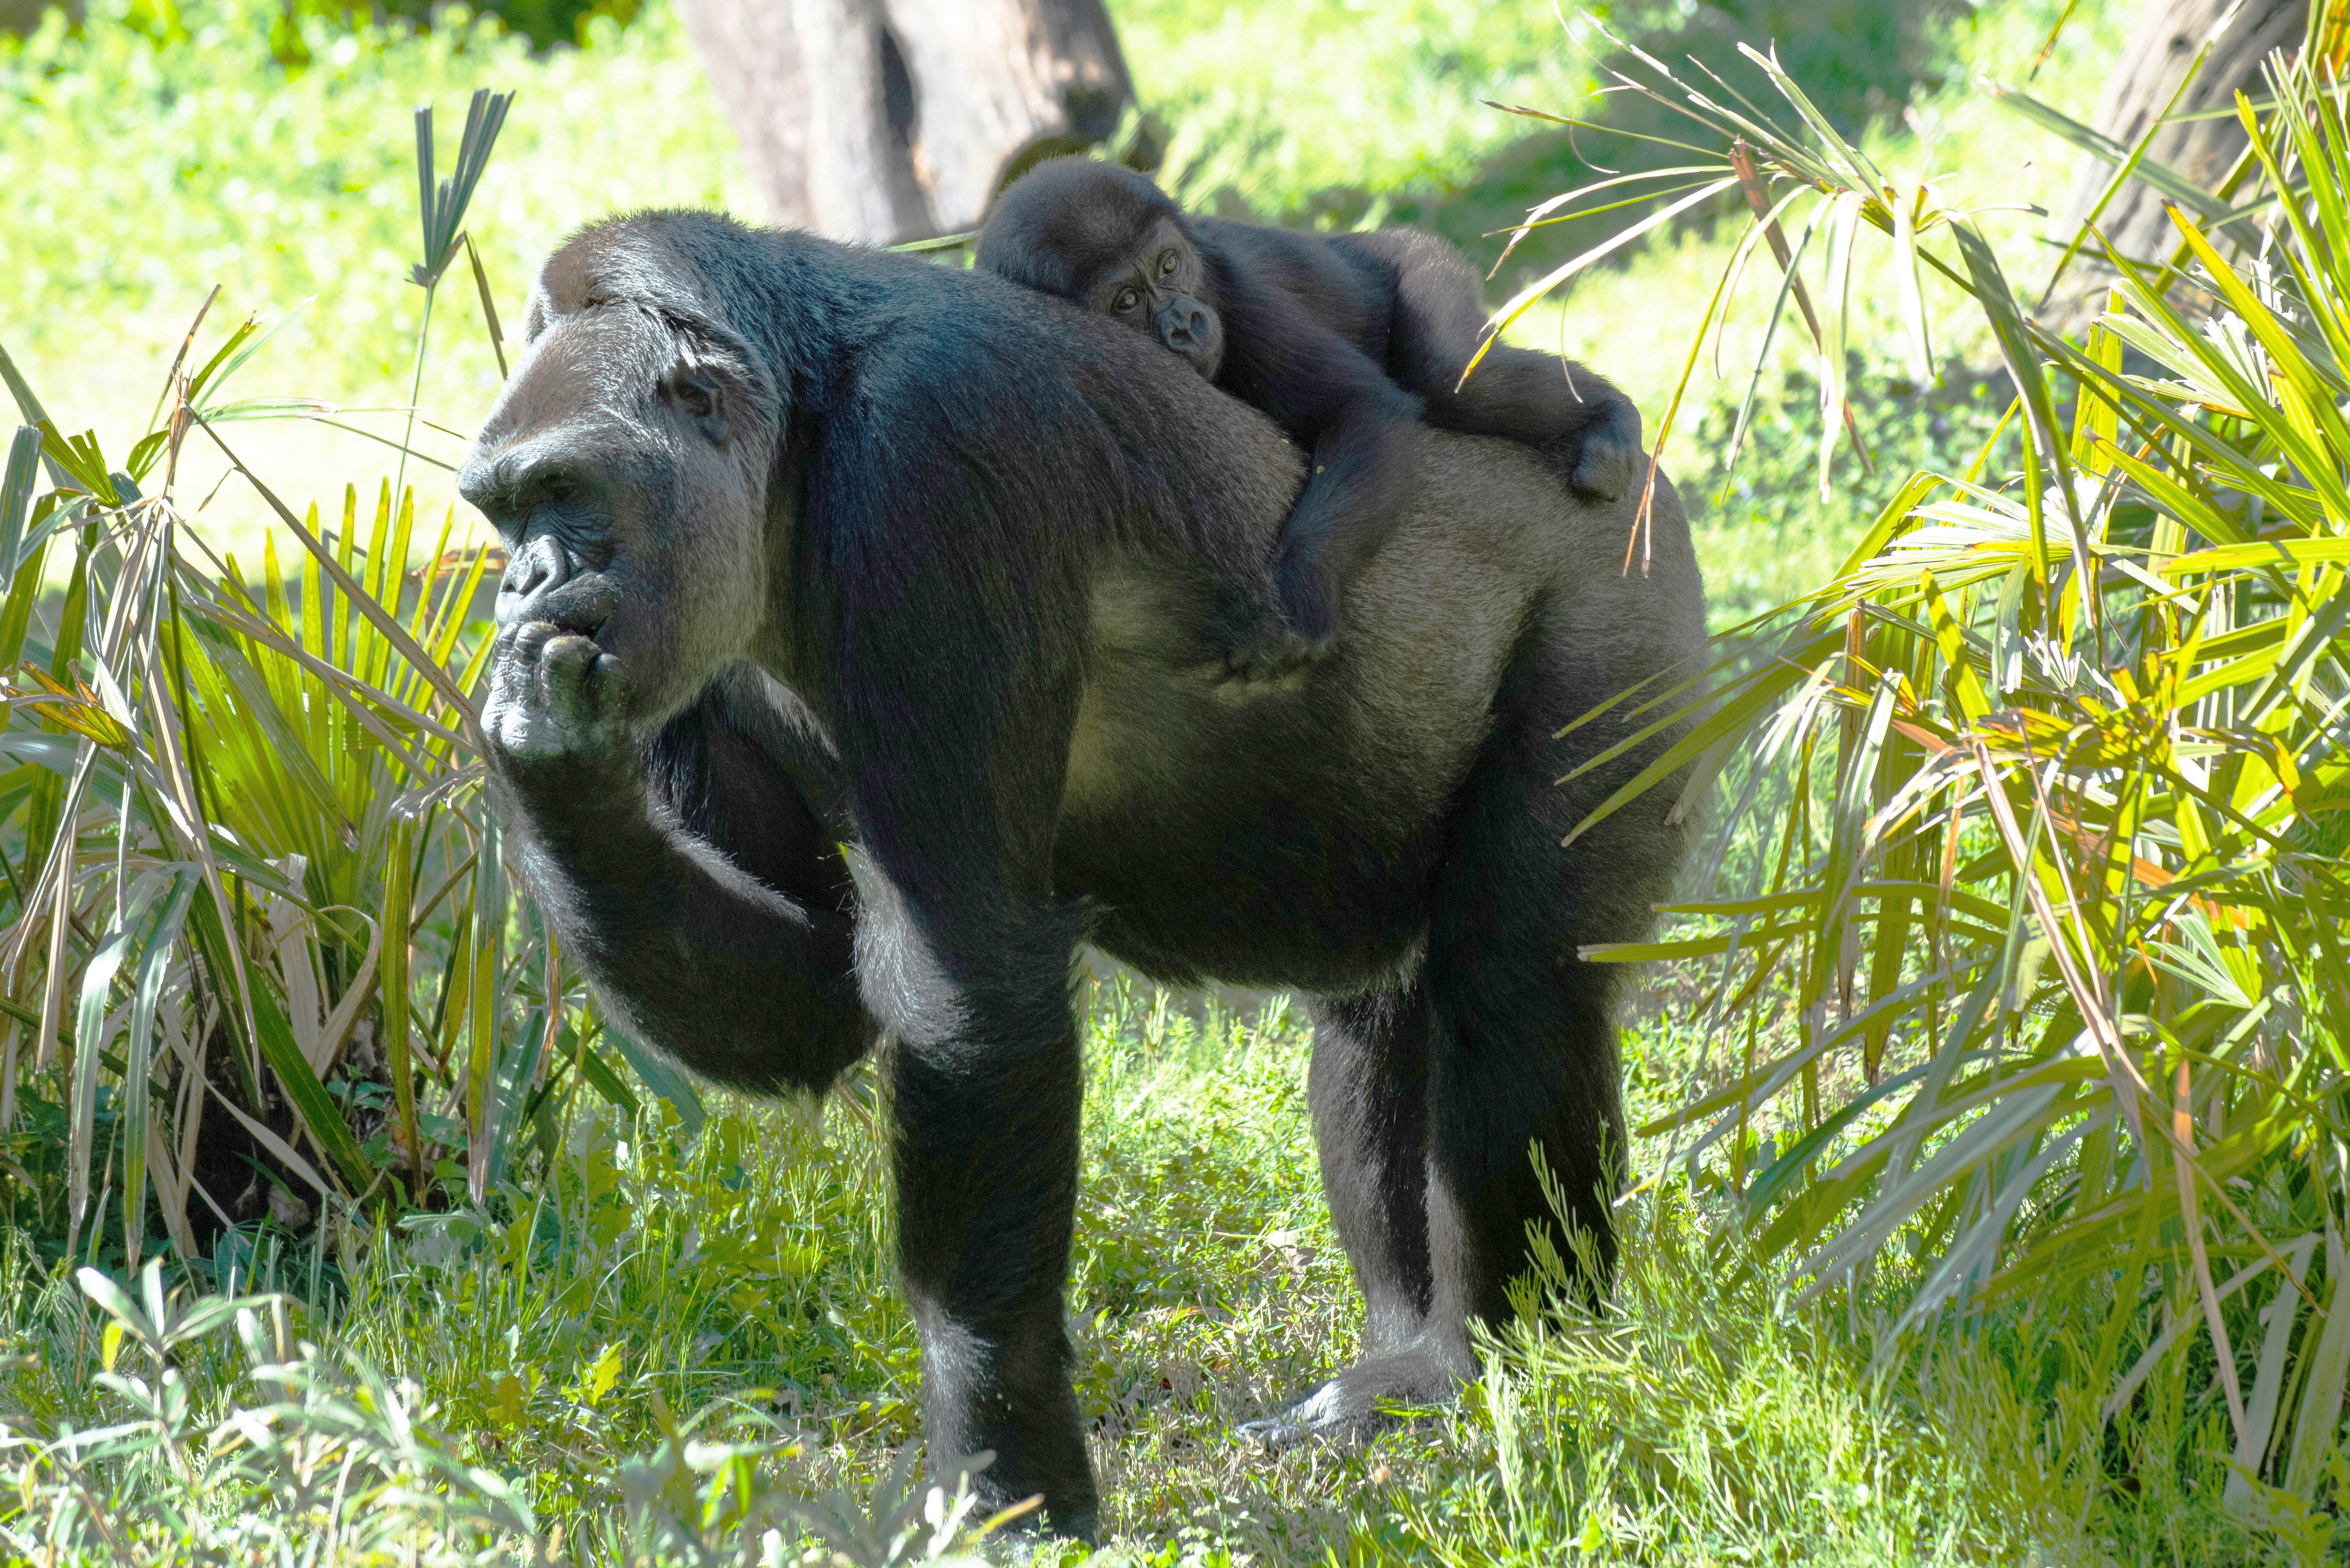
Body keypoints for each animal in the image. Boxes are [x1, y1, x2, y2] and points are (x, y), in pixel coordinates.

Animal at [463, 211, 1710, 1542]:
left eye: (566, 493)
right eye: (501, 514)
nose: (520, 586)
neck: (794, 440)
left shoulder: (923, 473)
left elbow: (970, 988)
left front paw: (1005, 1465)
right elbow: (813, 1002)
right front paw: (548, 758)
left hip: (1619, 575)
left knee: (1512, 993)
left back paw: (1493, 1353)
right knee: (1380, 1017)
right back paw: (1404, 1353)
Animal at [972, 159, 1635, 677]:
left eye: (1168, 267)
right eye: (1127, 302)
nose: (1185, 323)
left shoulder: (1240, 296)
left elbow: (1360, 406)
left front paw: (1302, 593)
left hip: (1420, 261)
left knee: (1449, 372)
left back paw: (1610, 417)